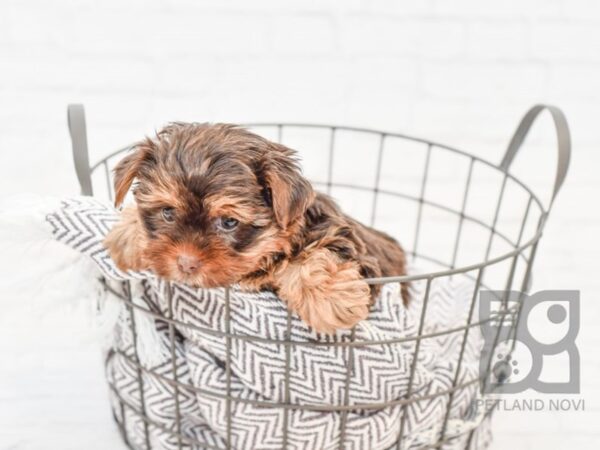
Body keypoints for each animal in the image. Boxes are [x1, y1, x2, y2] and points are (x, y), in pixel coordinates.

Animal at [105, 123, 410, 334]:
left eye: (229, 222)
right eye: (168, 212)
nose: (186, 263)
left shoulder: (348, 244)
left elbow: (320, 256)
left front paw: (329, 299)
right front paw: (128, 235)